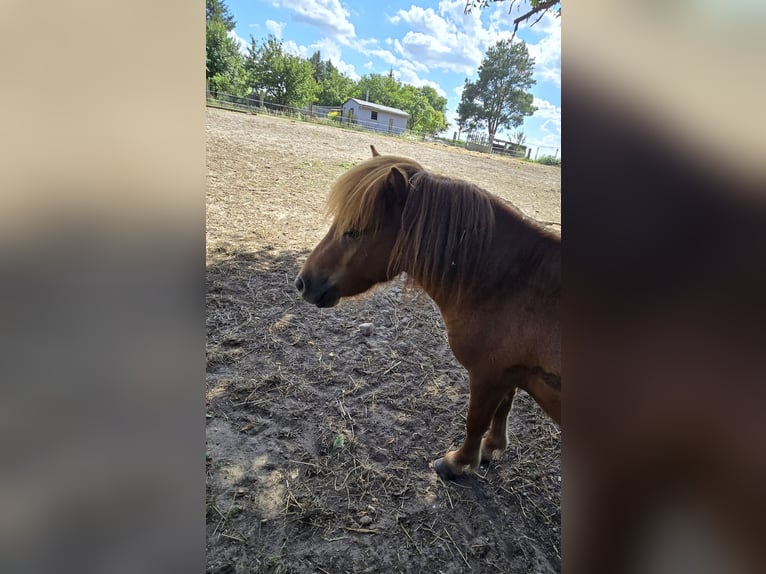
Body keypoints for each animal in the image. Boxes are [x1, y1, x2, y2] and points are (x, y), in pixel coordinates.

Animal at [296, 146, 560, 480]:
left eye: (354, 231)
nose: (302, 282)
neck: (515, 283)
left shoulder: (486, 375)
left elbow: (475, 420)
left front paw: (458, 463)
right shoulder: (508, 373)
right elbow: (504, 407)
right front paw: (493, 447)